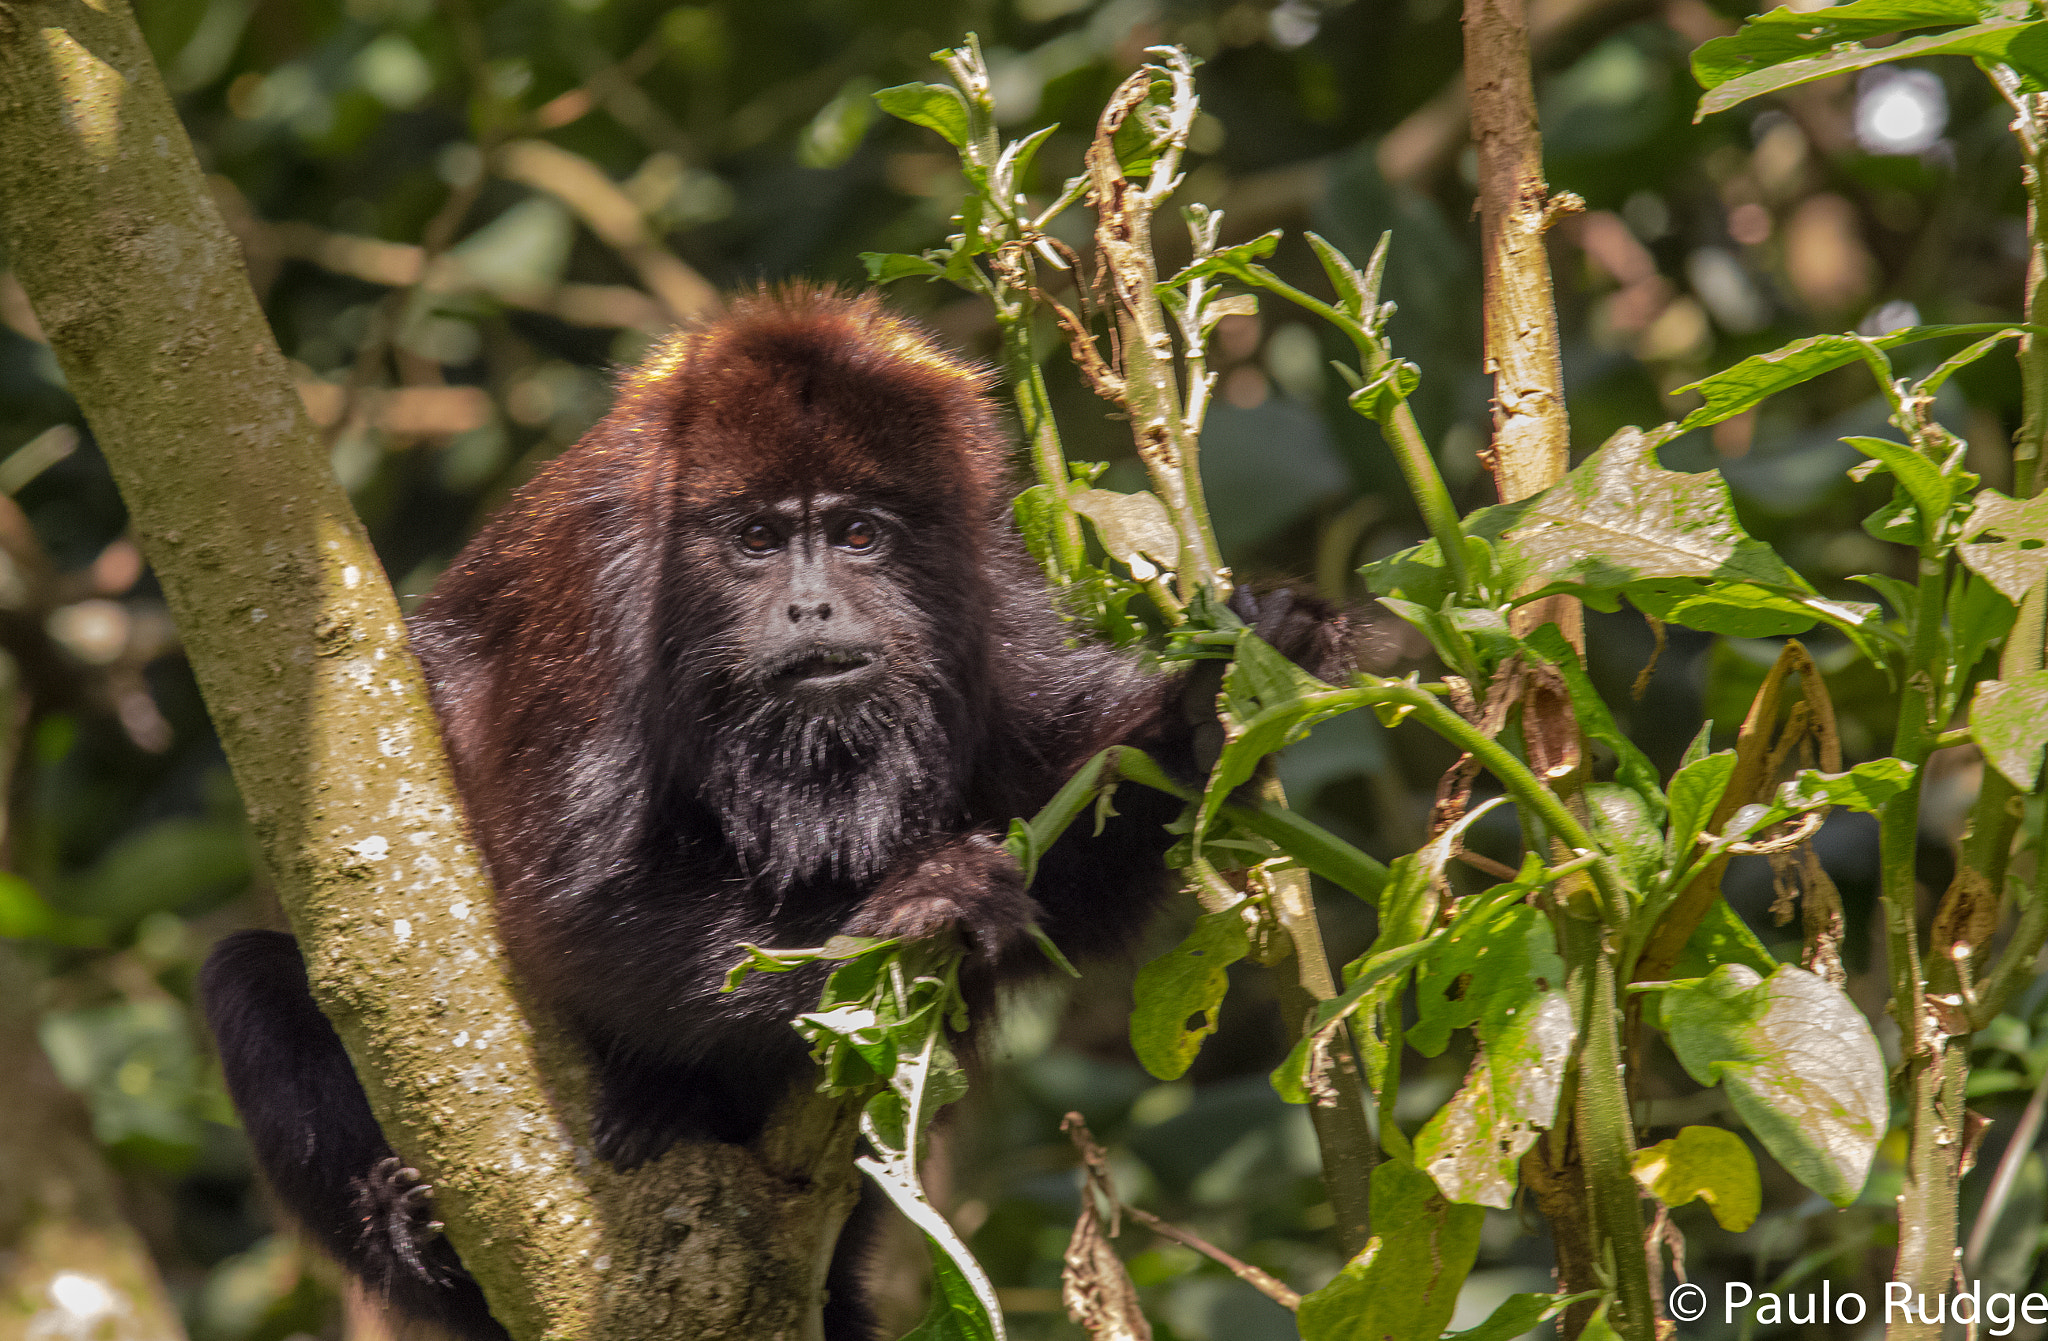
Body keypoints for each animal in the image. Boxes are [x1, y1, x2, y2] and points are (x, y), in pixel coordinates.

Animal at [199, 288, 1351, 1334]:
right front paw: (908, 907)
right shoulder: (601, 598)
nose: (810, 604)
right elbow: (571, 904)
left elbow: (1078, 830)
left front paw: (1215, 698)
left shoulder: (989, 589)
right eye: (756, 537)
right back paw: (425, 1231)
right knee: (249, 979)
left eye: (858, 533)